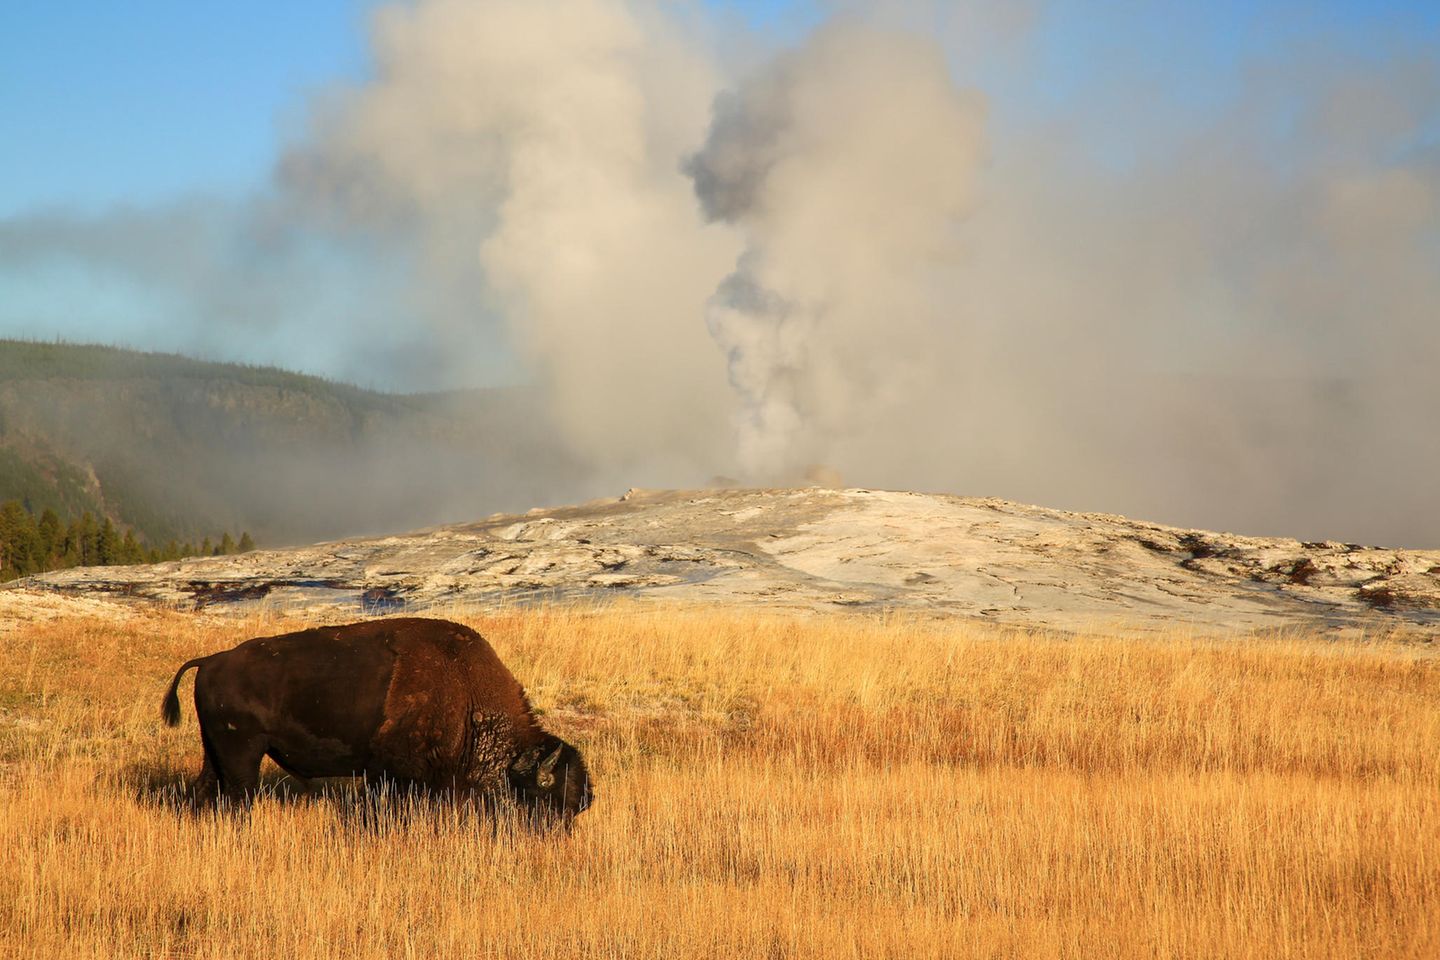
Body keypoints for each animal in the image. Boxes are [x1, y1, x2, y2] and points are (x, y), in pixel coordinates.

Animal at [160, 616, 592, 823]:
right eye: (547, 802)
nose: (555, 840)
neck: (465, 690)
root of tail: (210, 661)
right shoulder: (392, 776)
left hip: (214, 751)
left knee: (204, 791)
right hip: (242, 754)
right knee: (238, 797)